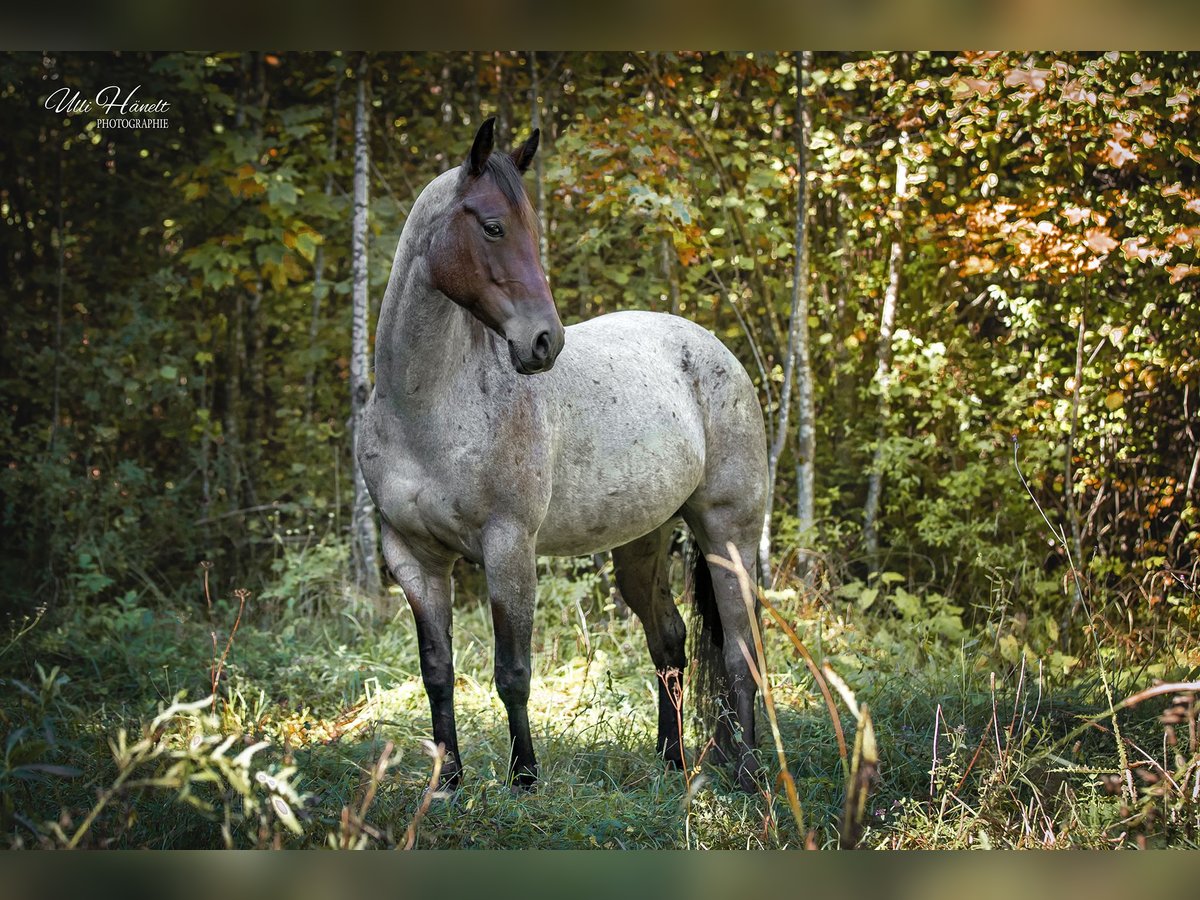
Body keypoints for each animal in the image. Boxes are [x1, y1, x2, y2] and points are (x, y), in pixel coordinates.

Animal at [358, 118, 768, 792]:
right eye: (493, 226)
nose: (544, 341)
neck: (425, 411)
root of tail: (714, 349)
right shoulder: (413, 557)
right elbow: (437, 671)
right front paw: (447, 782)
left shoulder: (509, 548)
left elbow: (513, 672)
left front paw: (524, 780)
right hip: (642, 543)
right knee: (670, 641)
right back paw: (672, 762)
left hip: (728, 533)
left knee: (740, 651)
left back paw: (751, 773)